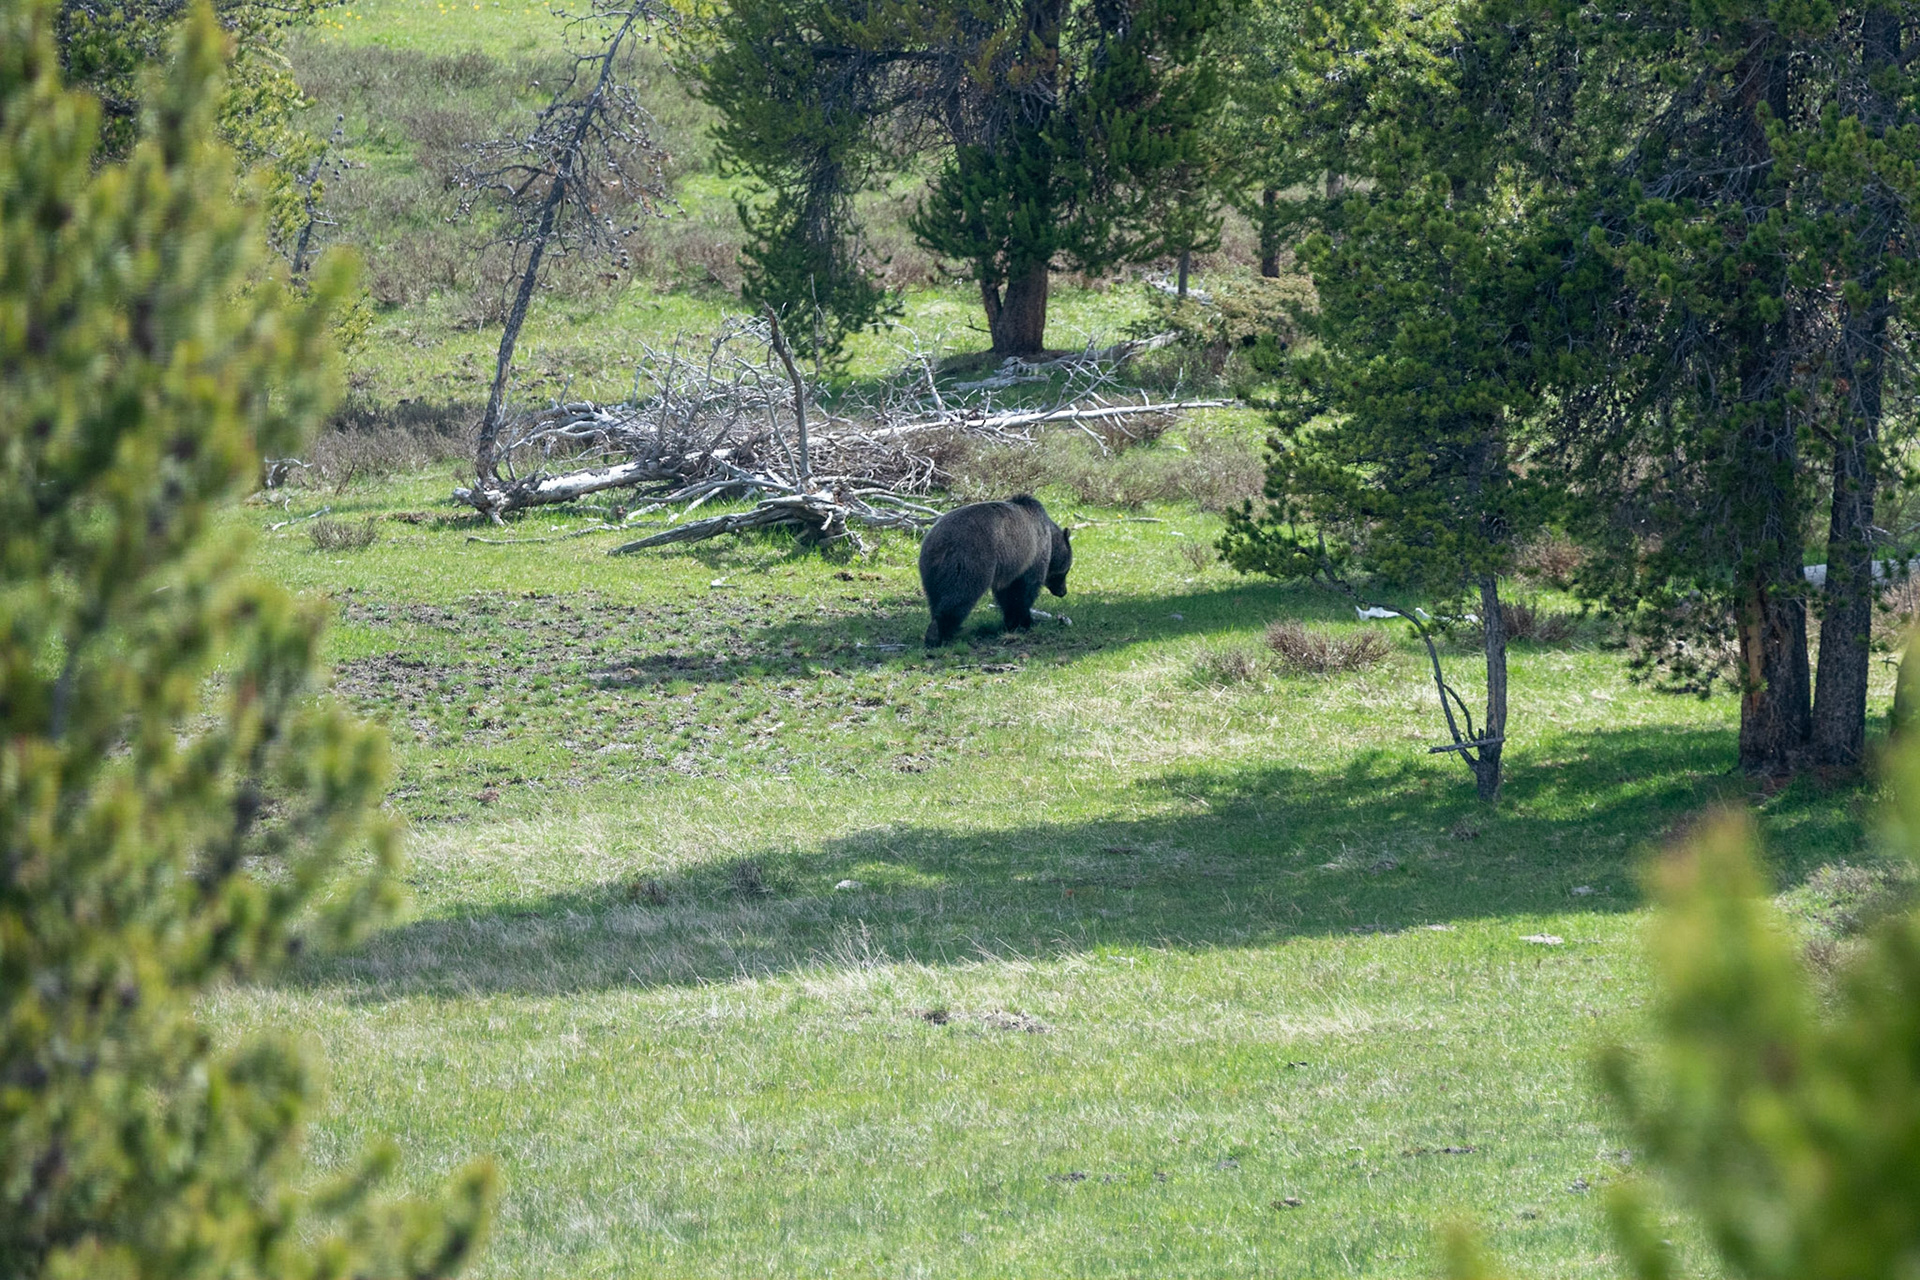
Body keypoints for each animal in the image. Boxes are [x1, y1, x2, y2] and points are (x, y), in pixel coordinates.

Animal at [919, 494, 1072, 647]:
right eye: (1066, 571)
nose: (1063, 592)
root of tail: (941, 542)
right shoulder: (1032, 555)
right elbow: (1024, 591)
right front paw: (1026, 621)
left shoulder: (1010, 567)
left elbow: (1008, 595)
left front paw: (1012, 622)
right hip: (971, 558)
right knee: (960, 594)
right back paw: (939, 633)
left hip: (931, 569)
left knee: (935, 598)